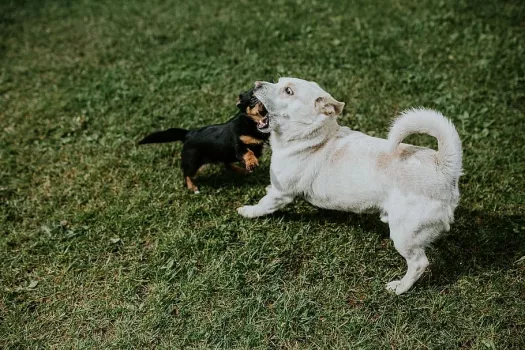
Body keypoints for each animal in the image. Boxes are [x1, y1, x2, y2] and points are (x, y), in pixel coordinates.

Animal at [138, 89, 268, 193]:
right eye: (252, 99)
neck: (252, 122)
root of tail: (188, 134)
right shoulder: (238, 145)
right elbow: (248, 152)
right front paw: (251, 162)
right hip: (193, 162)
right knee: (187, 174)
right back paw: (192, 187)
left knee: (227, 164)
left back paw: (241, 170)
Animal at [238, 78, 462, 294]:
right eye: (278, 81)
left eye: (288, 91)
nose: (256, 84)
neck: (314, 137)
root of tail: (443, 167)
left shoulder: (281, 193)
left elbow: (263, 205)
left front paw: (247, 211)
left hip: (404, 234)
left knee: (419, 263)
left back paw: (400, 287)